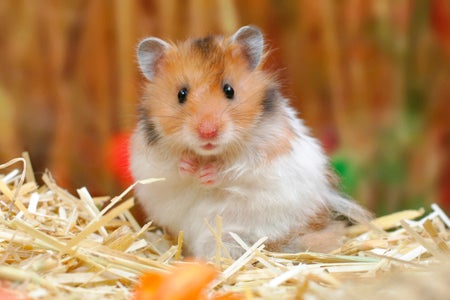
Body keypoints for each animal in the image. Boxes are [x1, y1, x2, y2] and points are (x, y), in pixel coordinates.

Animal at [129, 25, 370, 258]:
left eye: (229, 90)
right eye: (181, 94)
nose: (208, 132)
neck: (210, 154)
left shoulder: (267, 155)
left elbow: (237, 171)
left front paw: (207, 174)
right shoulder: (150, 164)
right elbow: (173, 169)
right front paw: (190, 166)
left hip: (236, 236)